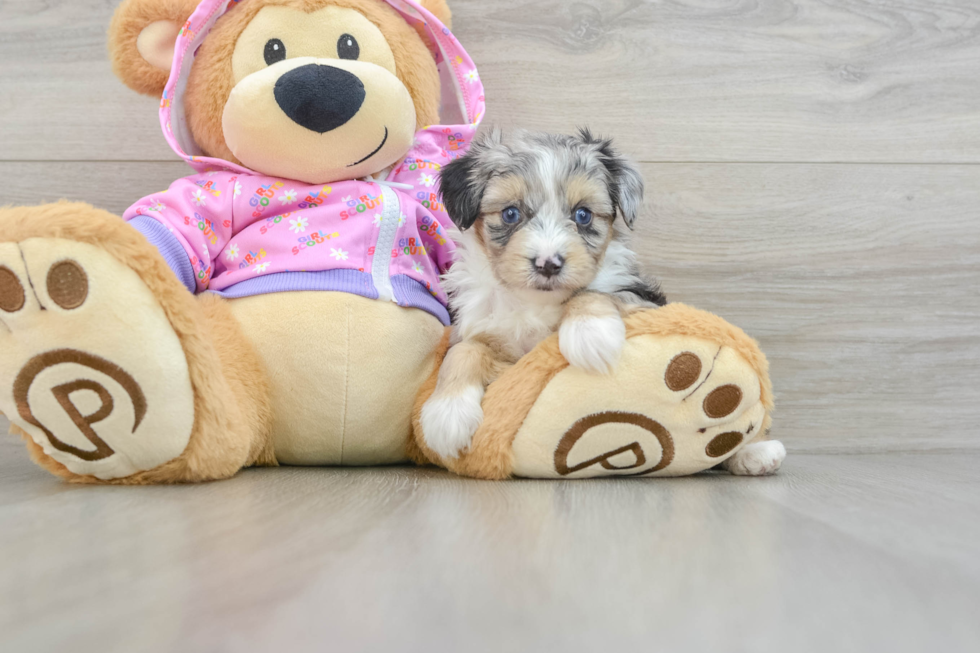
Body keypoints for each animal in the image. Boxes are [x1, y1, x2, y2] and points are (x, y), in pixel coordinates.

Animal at [422, 130, 668, 458]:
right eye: (510, 213)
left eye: (583, 215)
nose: (548, 264)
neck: (535, 302)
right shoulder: (485, 334)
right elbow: (463, 352)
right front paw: (447, 414)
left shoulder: (644, 300)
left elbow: (594, 292)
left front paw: (590, 334)